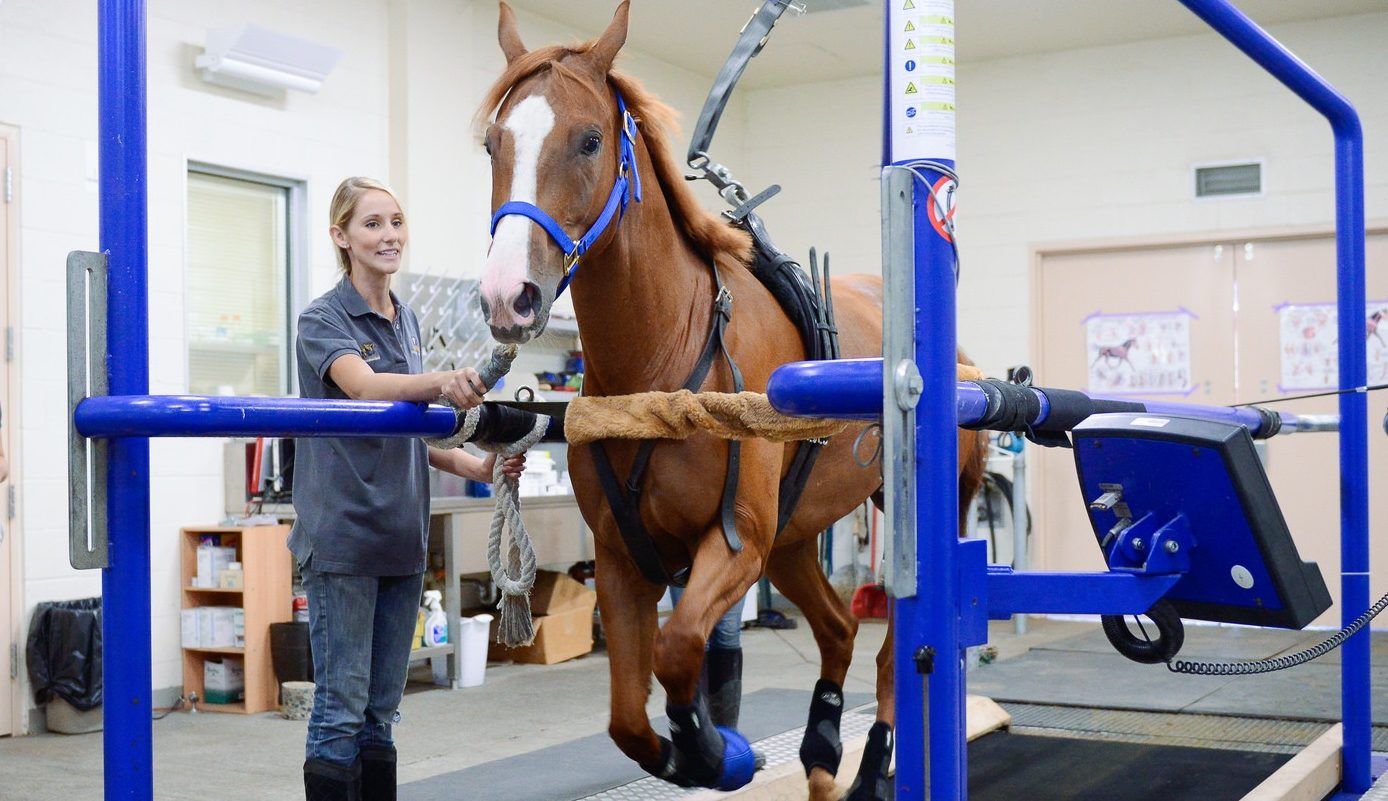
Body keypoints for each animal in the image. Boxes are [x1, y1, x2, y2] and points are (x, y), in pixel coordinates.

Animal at [477, 4, 988, 794]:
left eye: (589, 140)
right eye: (492, 143)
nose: (510, 295)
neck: (661, 360)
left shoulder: (735, 543)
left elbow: (681, 646)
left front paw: (715, 749)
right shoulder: (623, 560)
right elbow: (627, 717)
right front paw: (689, 752)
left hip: (907, 519)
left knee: (893, 653)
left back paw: (872, 764)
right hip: (794, 537)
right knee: (839, 627)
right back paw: (820, 751)